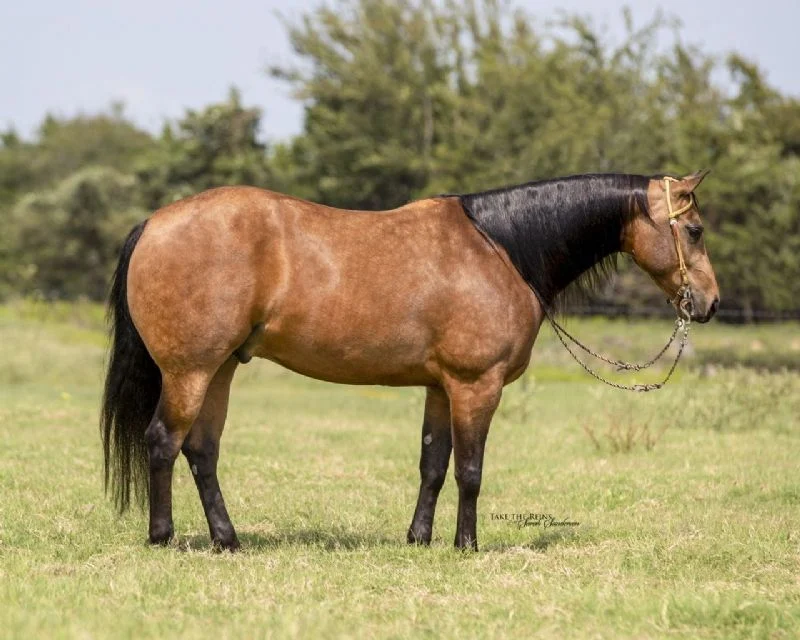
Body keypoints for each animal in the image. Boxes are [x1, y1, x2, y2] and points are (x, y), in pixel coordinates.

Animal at [101, 171, 719, 551]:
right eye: (693, 230)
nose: (709, 303)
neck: (502, 248)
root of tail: (154, 223)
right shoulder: (476, 385)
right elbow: (470, 470)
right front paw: (467, 545)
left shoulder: (441, 387)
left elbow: (433, 464)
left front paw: (419, 538)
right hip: (190, 371)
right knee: (164, 441)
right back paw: (162, 536)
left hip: (222, 368)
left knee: (202, 451)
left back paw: (228, 540)